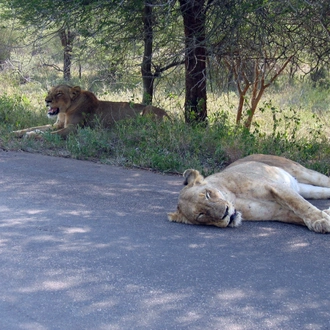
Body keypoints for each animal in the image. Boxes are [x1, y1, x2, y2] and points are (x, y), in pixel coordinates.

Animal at [12, 85, 170, 138]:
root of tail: (169, 117)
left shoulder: (74, 128)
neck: (64, 112)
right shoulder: (57, 124)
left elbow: (51, 134)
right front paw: (16, 132)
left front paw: (32, 135)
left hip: (148, 110)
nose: (46, 100)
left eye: (59, 94)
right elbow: (35, 127)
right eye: (49, 92)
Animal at [169, 154, 330, 233]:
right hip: (306, 189)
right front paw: (323, 219)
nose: (225, 213)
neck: (233, 199)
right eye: (201, 215)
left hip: (302, 172)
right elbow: (298, 215)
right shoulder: (276, 211)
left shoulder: (275, 186)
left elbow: (300, 205)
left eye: (208, 194)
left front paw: (320, 221)